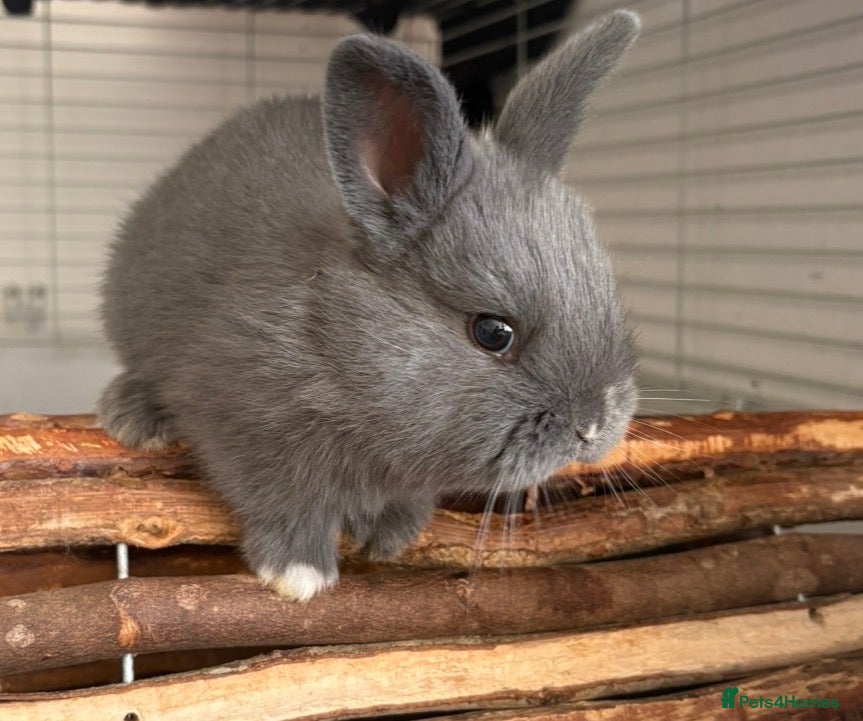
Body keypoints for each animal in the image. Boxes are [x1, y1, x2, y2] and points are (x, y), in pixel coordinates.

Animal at [98, 10, 641, 601]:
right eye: (493, 332)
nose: (592, 425)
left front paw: (389, 538)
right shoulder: (236, 419)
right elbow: (279, 498)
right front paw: (298, 572)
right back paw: (131, 416)